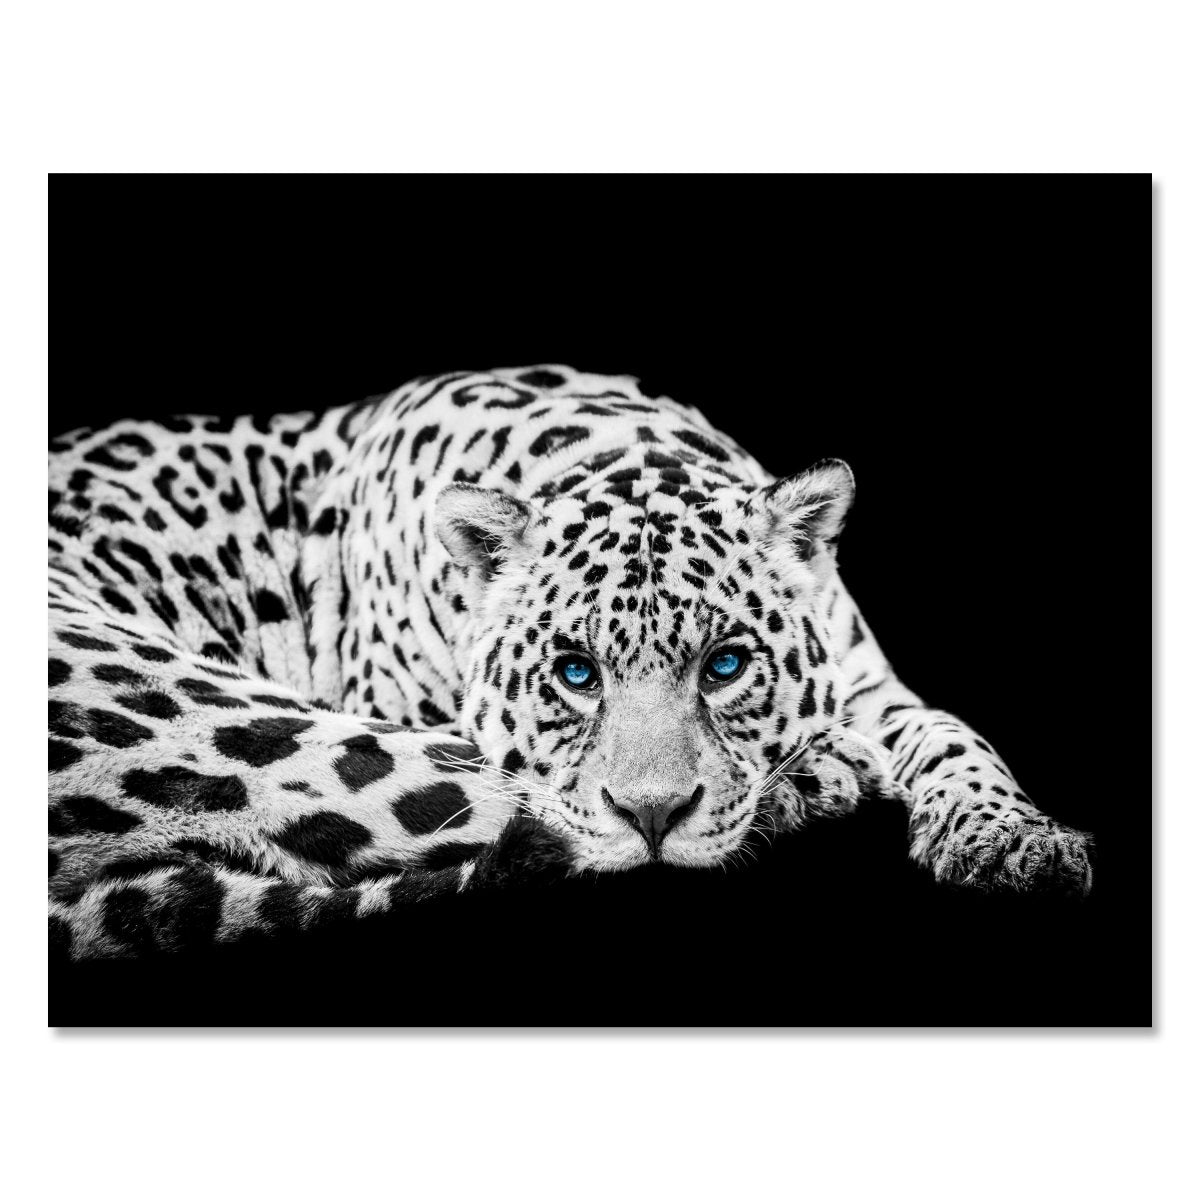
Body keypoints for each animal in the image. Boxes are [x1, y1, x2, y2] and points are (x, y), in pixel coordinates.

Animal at [48, 364, 1093, 959]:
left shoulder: (874, 685)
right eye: (575, 673)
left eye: (726, 665)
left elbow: (954, 736)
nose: (655, 816)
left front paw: (1013, 841)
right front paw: (822, 776)